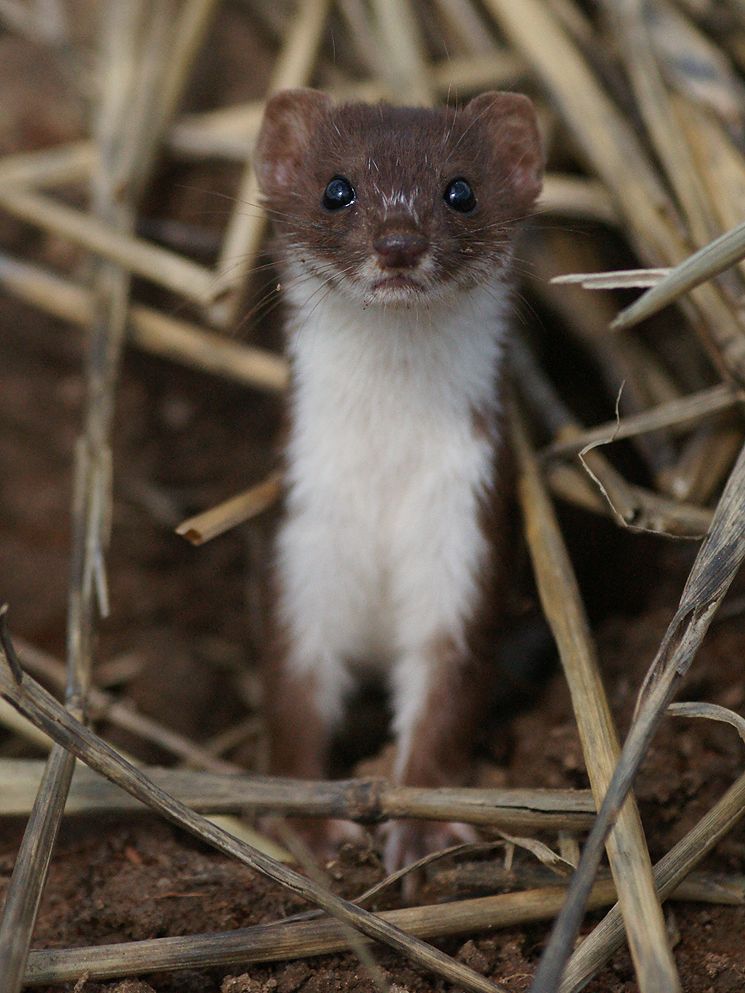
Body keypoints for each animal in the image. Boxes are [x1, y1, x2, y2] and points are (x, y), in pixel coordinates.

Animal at [254, 87, 540, 868]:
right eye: (337, 188)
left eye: (460, 190)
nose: (399, 241)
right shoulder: (304, 543)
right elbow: (292, 686)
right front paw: (309, 822)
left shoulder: (467, 538)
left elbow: (448, 691)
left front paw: (420, 828)